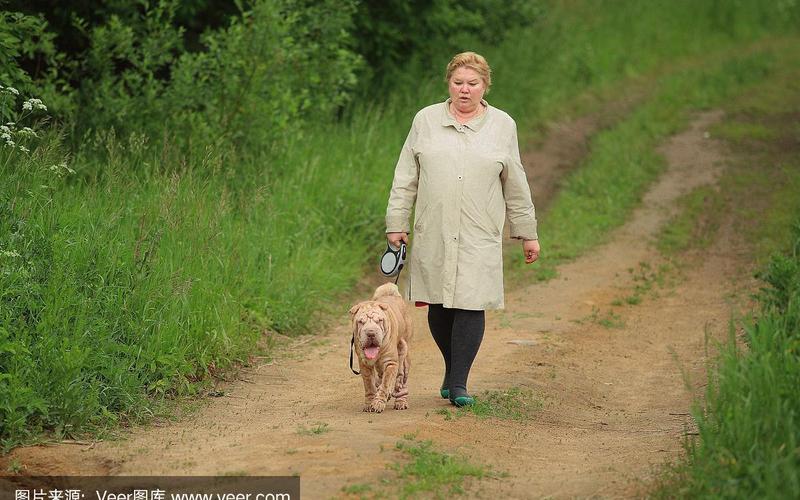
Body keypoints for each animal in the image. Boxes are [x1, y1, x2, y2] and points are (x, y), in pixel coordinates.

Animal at [348, 284, 412, 412]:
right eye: (361, 322)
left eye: (379, 321)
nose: (371, 333)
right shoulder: (364, 364)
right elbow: (369, 385)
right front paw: (369, 403)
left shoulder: (390, 362)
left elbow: (386, 382)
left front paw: (378, 403)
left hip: (404, 349)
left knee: (402, 376)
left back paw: (401, 401)